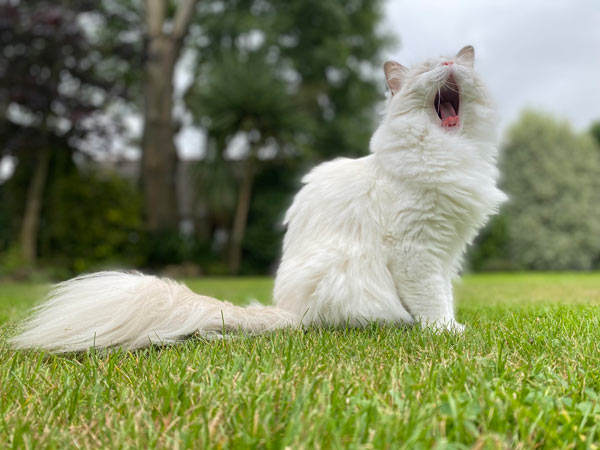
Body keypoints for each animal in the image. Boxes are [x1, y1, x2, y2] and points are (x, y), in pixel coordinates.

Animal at [10, 46, 506, 356]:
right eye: (427, 70)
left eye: (452, 64)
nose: (449, 63)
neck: (448, 148)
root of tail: (285, 311)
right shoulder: (417, 251)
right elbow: (431, 301)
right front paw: (446, 332)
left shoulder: (445, 251)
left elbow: (443, 295)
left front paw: (451, 327)